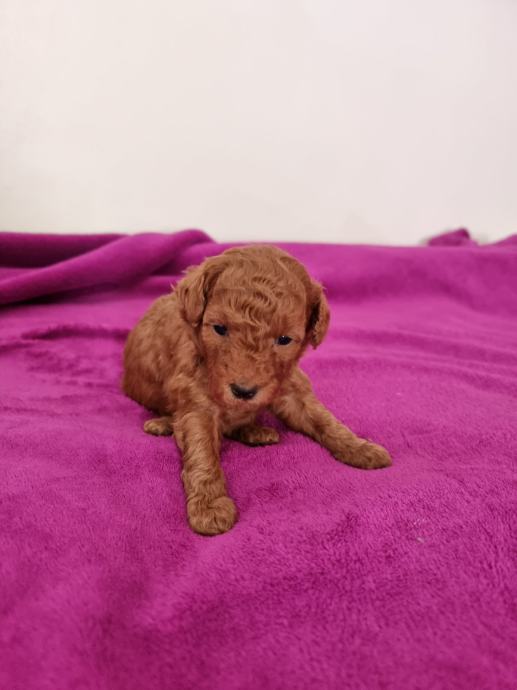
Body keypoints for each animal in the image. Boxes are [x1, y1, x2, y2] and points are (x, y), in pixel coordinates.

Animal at [123, 245, 391, 535]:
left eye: (284, 339)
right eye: (219, 328)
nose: (243, 391)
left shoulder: (291, 388)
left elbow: (326, 421)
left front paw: (360, 447)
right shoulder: (196, 401)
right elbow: (202, 453)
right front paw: (209, 506)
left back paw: (255, 431)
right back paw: (162, 424)